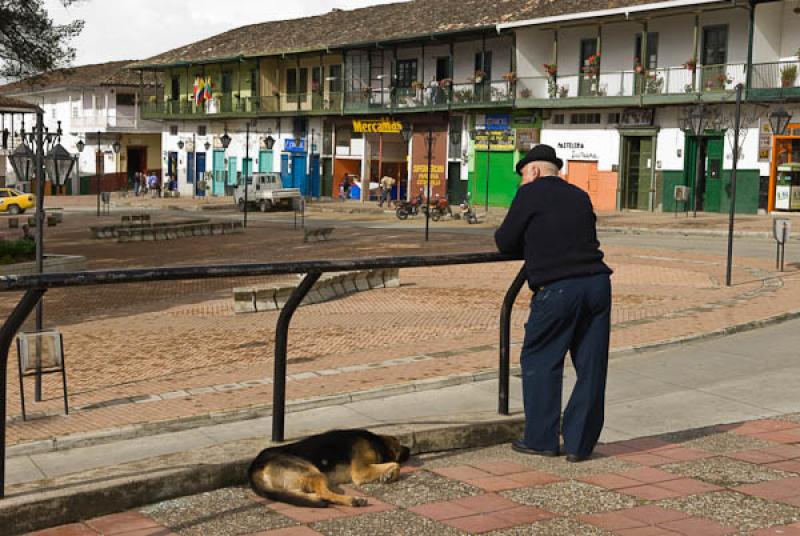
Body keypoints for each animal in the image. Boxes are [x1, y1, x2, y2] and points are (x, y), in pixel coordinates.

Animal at [248, 430, 412, 508]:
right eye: (400, 445)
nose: (410, 450)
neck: (376, 441)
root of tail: (256, 465)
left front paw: (388, 475)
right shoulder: (361, 471)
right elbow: (396, 464)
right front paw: (390, 474)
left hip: (296, 483)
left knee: (312, 494)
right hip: (314, 472)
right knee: (324, 492)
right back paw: (352, 500)